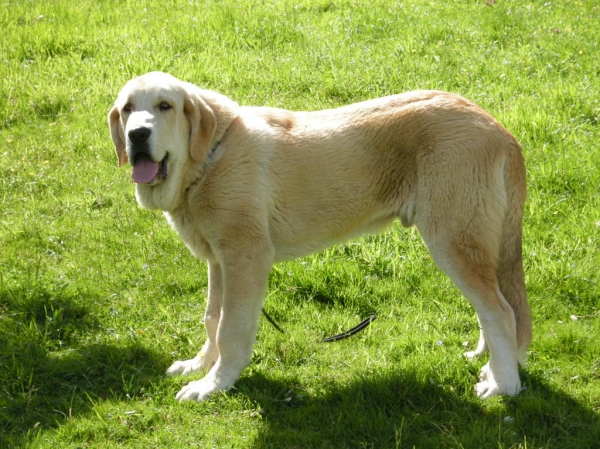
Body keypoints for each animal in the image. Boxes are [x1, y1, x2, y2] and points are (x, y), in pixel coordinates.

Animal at [108, 72, 528, 400]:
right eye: (127, 109)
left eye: (165, 106)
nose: (138, 134)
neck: (211, 154)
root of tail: (500, 131)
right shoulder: (218, 260)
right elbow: (212, 318)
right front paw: (200, 365)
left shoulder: (245, 257)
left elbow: (231, 328)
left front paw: (215, 384)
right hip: (472, 241)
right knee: (494, 306)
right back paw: (489, 362)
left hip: (452, 238)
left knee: (500, 311)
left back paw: (502, 385)